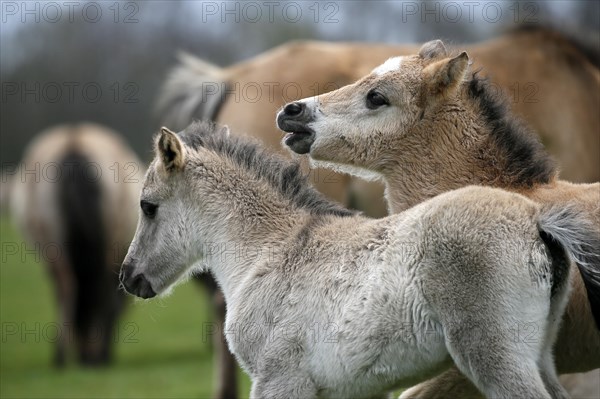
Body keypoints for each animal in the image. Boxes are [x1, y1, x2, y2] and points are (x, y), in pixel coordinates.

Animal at [9, 123, 143, 368]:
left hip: (56, 248)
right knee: (96, 289)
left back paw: (61, 356)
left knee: (68, 286)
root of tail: (75, 143)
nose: (84, 355)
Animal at [119, 121, 596, 399]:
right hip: (539, 357)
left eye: (147, 206)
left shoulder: (279, 382)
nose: (129, 277)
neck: (270, 251)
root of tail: (535, 219)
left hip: (497, 358)